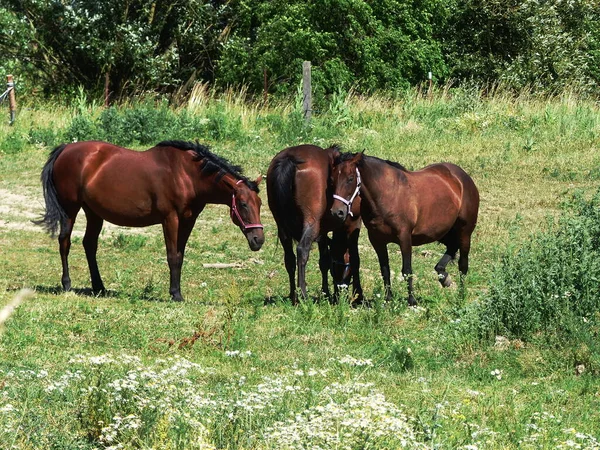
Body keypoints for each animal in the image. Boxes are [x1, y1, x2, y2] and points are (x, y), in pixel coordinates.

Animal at [35, 140, 264, 302]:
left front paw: (176, 291)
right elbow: (172, 256)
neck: (186, 174)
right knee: (65, 242)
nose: (258, 240)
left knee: (89, 244)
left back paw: (99, 287)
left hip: (93, 212)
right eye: (243, 204)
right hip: (70, 209)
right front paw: (175, 294)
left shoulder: (188, 220)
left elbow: (180, 256)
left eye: (260, 203)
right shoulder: (170, 219)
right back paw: (67, 284)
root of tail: (66, 149)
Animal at [266, 144, 360, 304]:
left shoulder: (322, 232)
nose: (340, 289)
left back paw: (293, 294)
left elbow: (324, 261)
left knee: (289, 258)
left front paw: (325, 292)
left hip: (282, 227)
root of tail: (289, 158)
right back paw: (302, 294)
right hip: (311, 223)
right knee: (302, 250)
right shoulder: (351, 224)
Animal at [328, 152, 478, 306]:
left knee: (463, 265)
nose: (337, 212)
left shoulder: (404, 237)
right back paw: (444, 276)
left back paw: (461, 296)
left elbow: (406, 270)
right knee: (452, 248)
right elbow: (385, 270)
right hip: (442, 232)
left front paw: (412, 301)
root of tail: (462, 177)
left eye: (350, 178)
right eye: (332, 179)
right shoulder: (377, 240)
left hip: (464, 232)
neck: (387, 194)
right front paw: (388, 299)